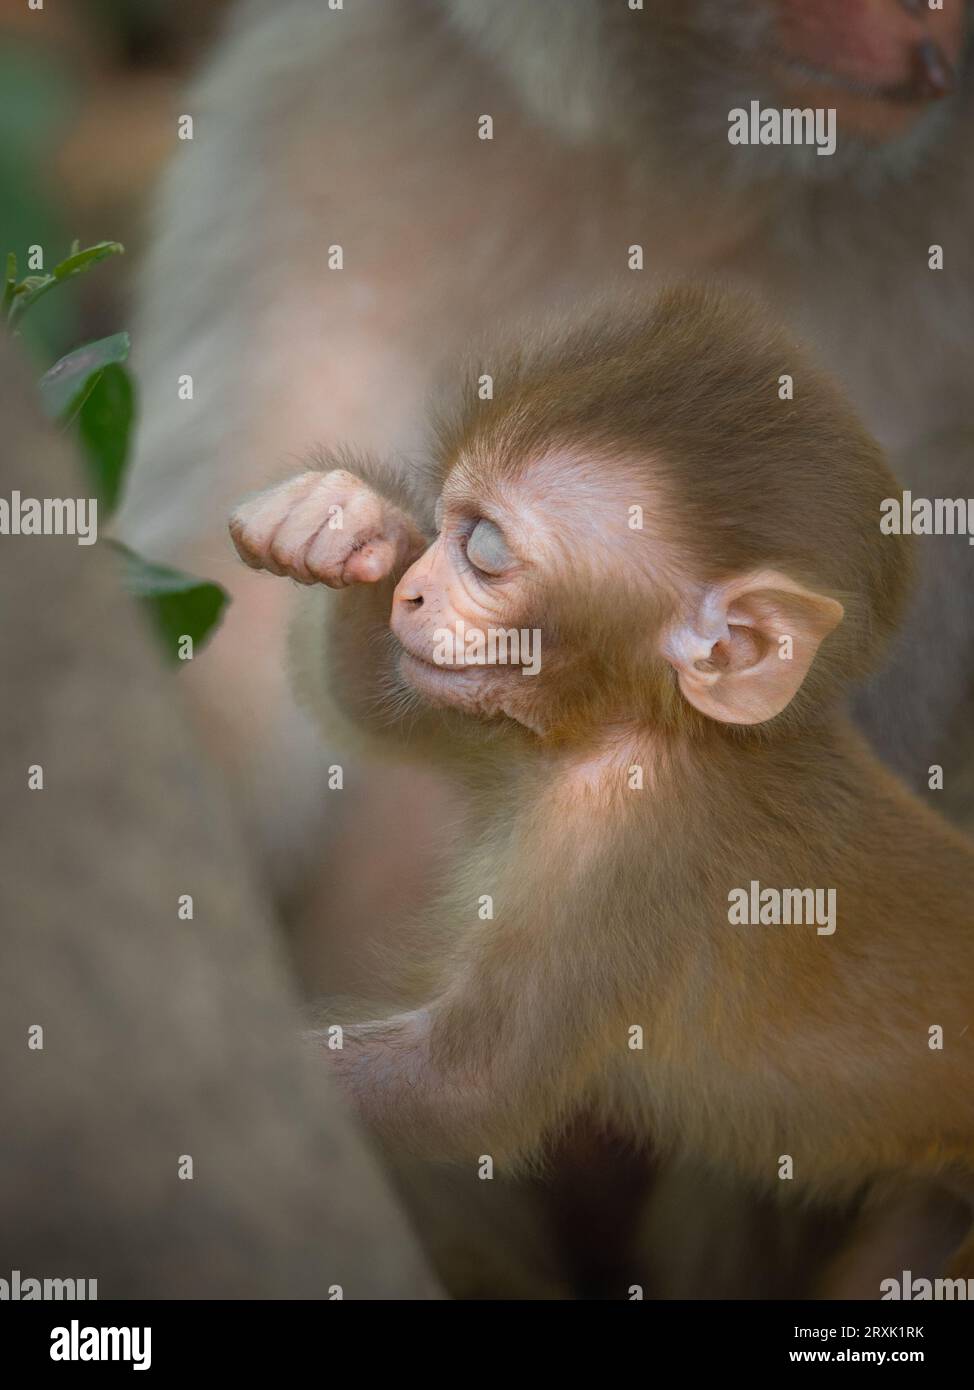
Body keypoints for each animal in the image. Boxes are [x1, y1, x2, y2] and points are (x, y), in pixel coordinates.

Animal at [229, 283, 974, 1287]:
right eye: (444, 529)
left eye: (486, 549)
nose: (413, 590)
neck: (655, 730)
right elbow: (372, 702)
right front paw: (340, 520)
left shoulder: (628, 858)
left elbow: (463, 1090)